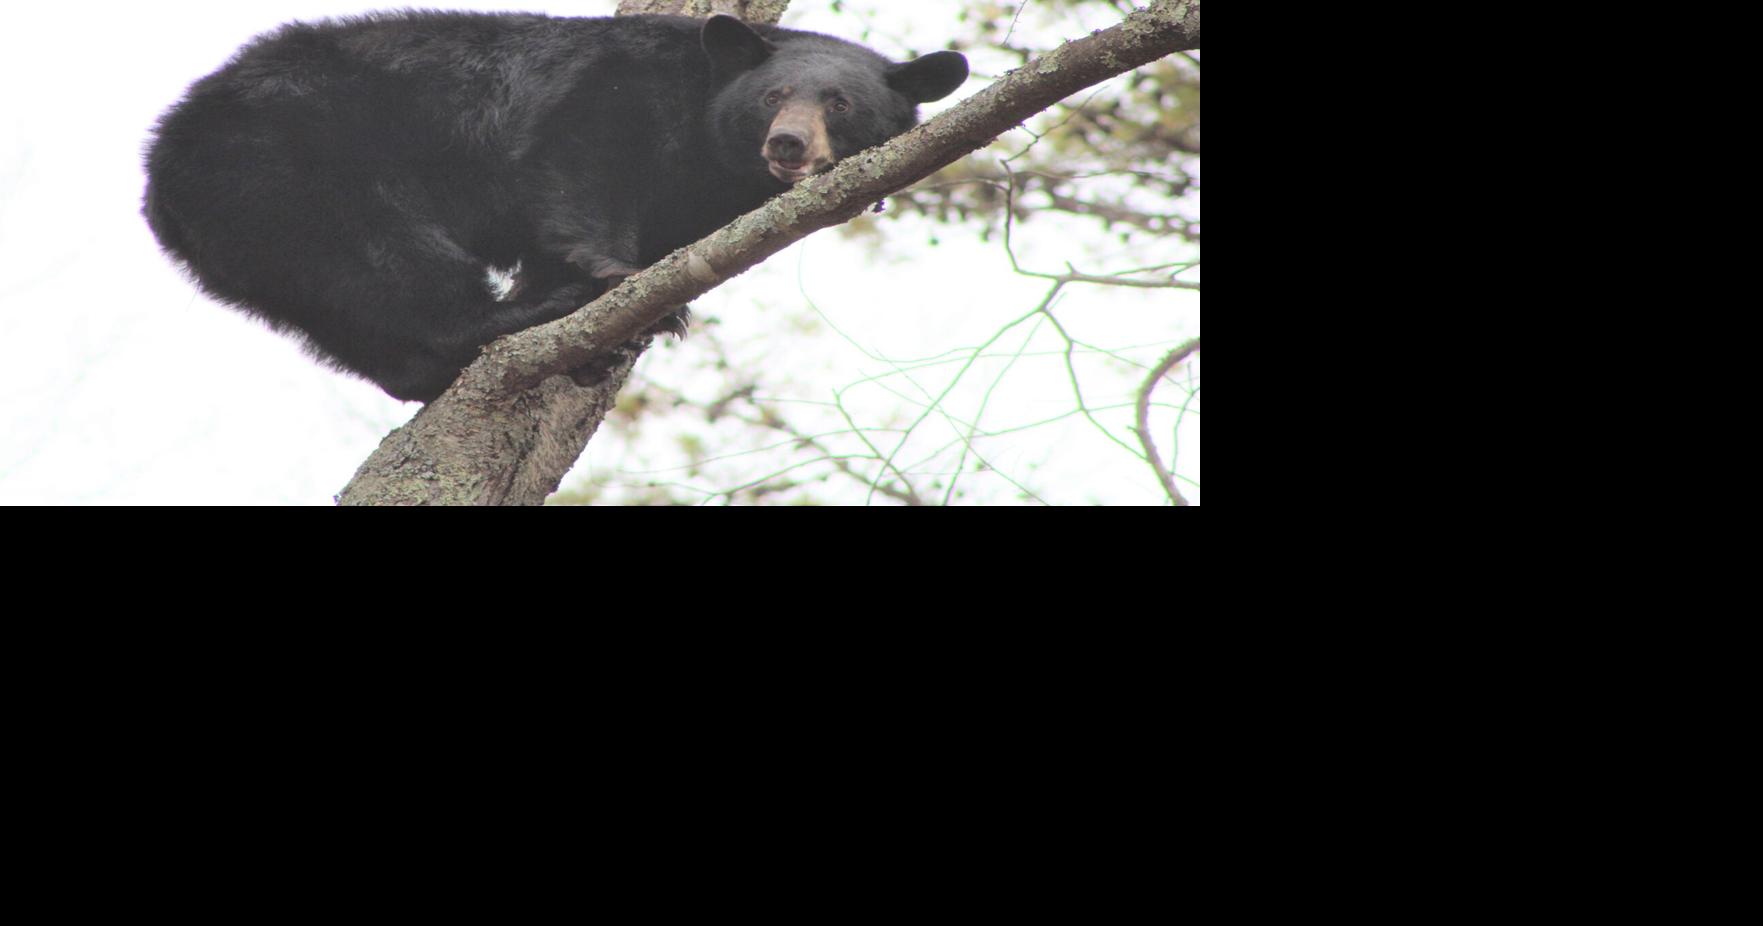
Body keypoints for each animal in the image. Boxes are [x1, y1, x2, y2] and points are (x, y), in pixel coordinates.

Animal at [142, 11, 968, 402]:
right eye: (772, 96)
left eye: (840, 102)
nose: (789, 144)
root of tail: (160, 170)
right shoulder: (614, 91)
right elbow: (580, 167)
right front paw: (615, 283)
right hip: (292, 165)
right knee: (391, 262)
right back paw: (521, 318)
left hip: (251, 240)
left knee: (344, 314)